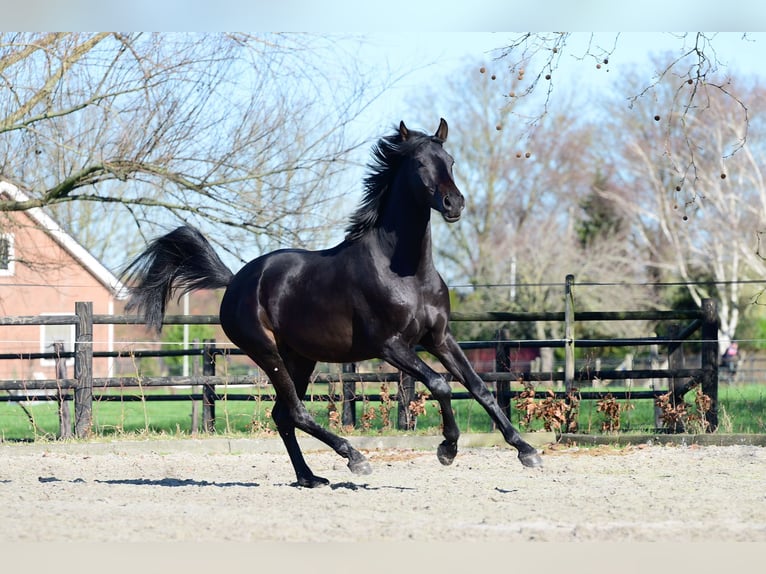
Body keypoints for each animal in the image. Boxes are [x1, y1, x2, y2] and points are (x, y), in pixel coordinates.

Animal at [121, 118, 543, 488]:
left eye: (451, 161)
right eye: (421, 163)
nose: (454, 203)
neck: (406, 271)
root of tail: (237, 280)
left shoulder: (439, 338)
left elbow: (479, 387)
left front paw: (527, 450)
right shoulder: (390, 345)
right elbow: (440, 384)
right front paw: (447, 449)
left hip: (300, 357)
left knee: (282, 415)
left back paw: (310, 477)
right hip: (267, 353)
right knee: (295, 411)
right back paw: (354, 458)